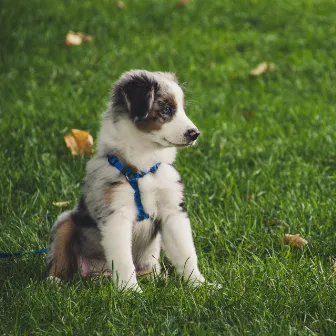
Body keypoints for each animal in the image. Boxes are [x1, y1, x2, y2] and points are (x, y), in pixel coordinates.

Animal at [46, 69, 206, 290]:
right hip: (65, 221)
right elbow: (123, 259)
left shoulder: (172, 211)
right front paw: (130, 291)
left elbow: (186, 252)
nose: (195, 134)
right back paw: (54, 279)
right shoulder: (116, 215)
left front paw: (200, 285)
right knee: (60, 254)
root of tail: (96, 273)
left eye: (182, 109)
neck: (144, 166)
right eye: (166, 109)